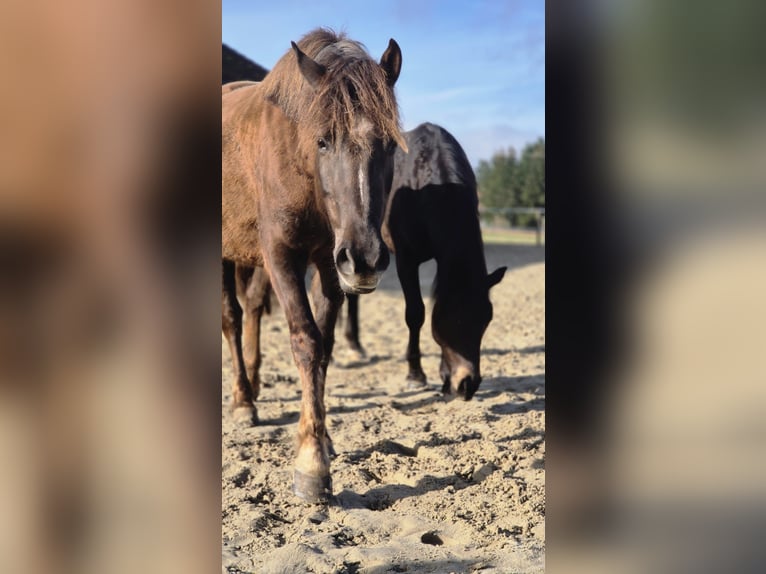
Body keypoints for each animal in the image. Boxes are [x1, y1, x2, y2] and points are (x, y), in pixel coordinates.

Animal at [220, 29, 404, 502]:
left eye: (389, 144)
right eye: (323, 140)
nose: (367, 257)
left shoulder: (328, 263)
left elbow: (325, 345)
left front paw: (322, 438)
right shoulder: (282, 255)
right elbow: (306, 342)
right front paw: (311, 466)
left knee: (251, 310)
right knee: (231, 318)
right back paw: (243, 400)